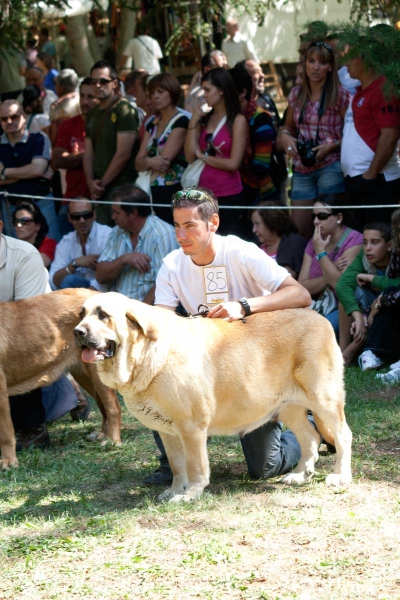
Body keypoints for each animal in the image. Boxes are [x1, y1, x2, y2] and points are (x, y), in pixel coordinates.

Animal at [0, 290, 122, 468]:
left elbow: (5, 433)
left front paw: (8, 462)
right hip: (84, 375)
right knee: (103, 407)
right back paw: (102, 435)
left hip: (97, 372)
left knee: (113, 408)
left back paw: (113, 441)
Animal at [76, 290, 354, 502]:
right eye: (81, 314)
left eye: (103, 315)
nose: (78, 332)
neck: (145, 353)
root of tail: (320, 318)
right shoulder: (167, 430)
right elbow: (177, 465)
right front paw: (174, 490)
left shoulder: (191, 426)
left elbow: (195, 465)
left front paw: (190, 494)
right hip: (288, 407)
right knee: (310, 437)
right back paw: (300, 474)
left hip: (324, 398)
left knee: (343, 435)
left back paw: (340, 475)